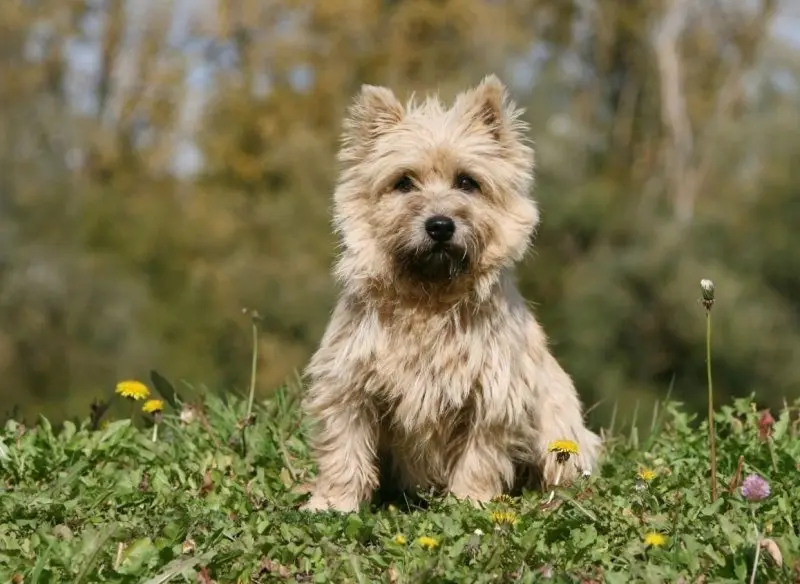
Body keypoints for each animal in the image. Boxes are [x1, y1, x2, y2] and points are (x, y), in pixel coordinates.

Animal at [300, 73, 600, 512]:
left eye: (467, 182)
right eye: (403, 182)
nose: (440, 225)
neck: (428, 298)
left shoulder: (493, 396)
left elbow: (479, 456)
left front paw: (470, 502)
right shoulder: (350, 386)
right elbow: (345, 448)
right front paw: (332, 503)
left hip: (559, 432)